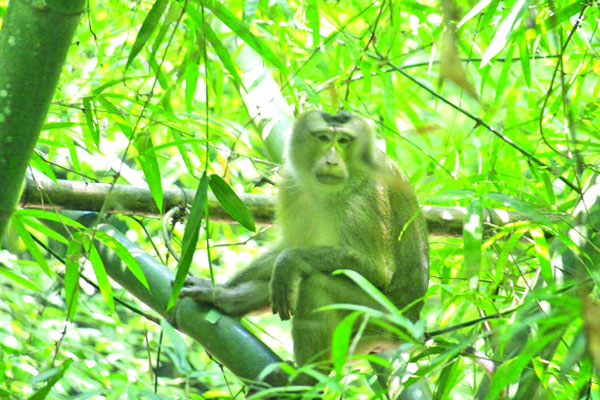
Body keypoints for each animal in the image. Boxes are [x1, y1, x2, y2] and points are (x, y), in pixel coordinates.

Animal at [180, 109, 428, 388]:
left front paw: (290, 261)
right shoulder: (292, 186)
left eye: (343, 140)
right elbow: (289, 247)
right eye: (323, 138)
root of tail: (413, 329)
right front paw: (220, 291)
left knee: (316, 284)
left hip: (381, 322)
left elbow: (377, 271)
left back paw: (306, 378)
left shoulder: (367, 197)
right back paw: (231, 302)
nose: (331, 161)